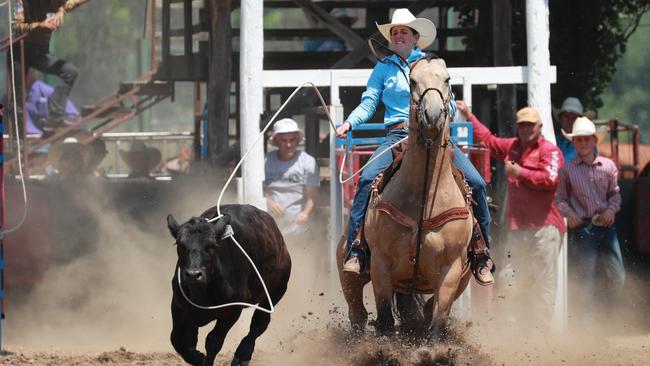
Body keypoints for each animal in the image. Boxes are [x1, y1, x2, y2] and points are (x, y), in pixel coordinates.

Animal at [166, 204, 290, 364]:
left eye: (212, 245)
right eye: (180, 244)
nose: (193, 275)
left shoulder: (232, 309)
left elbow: (213, 341)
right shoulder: (178, 304)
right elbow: (178, 339)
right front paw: (197, 357)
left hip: (277, 289)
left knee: (259, 324)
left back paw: (243, 355)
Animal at [340, 58, 470, 340]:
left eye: (447, 79)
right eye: (412, 81)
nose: (433, 114)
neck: (424, 198)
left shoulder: (452, 269)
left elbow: (437, 321)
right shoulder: (381, 264)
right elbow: (385, 319)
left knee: (424, 311)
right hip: (349, 275)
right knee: (357, 314)